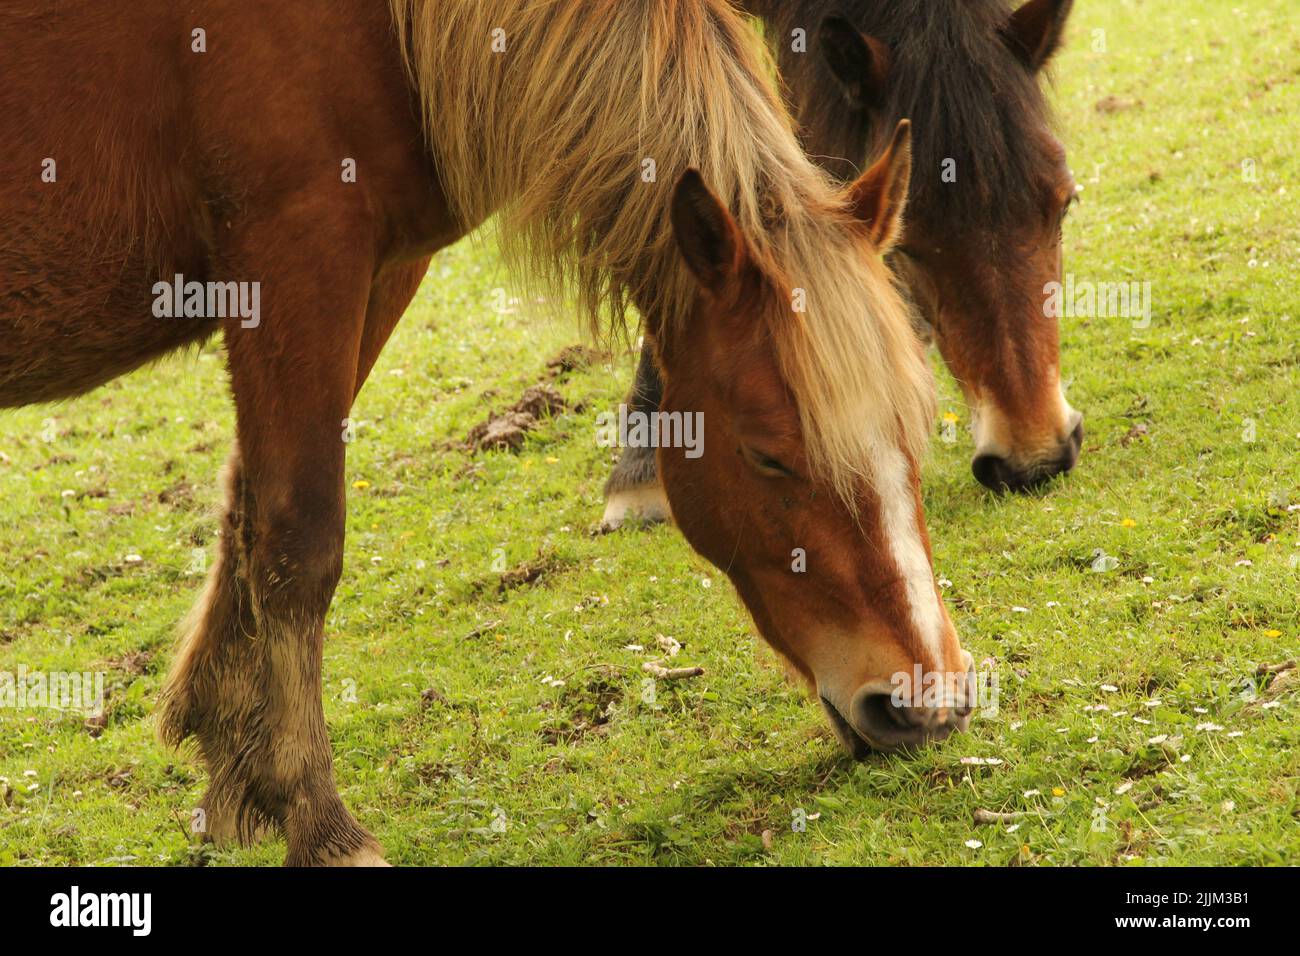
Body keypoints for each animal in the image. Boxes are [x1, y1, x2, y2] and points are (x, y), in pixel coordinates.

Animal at [1, 0, 973, 865]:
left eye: (918, 424)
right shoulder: (295, 256)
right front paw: (323, 827)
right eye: (768, 454)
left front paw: (242, 774)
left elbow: (246, 505)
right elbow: (297, 541)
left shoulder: (375, 271)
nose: (921, 700)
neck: (386, 26)